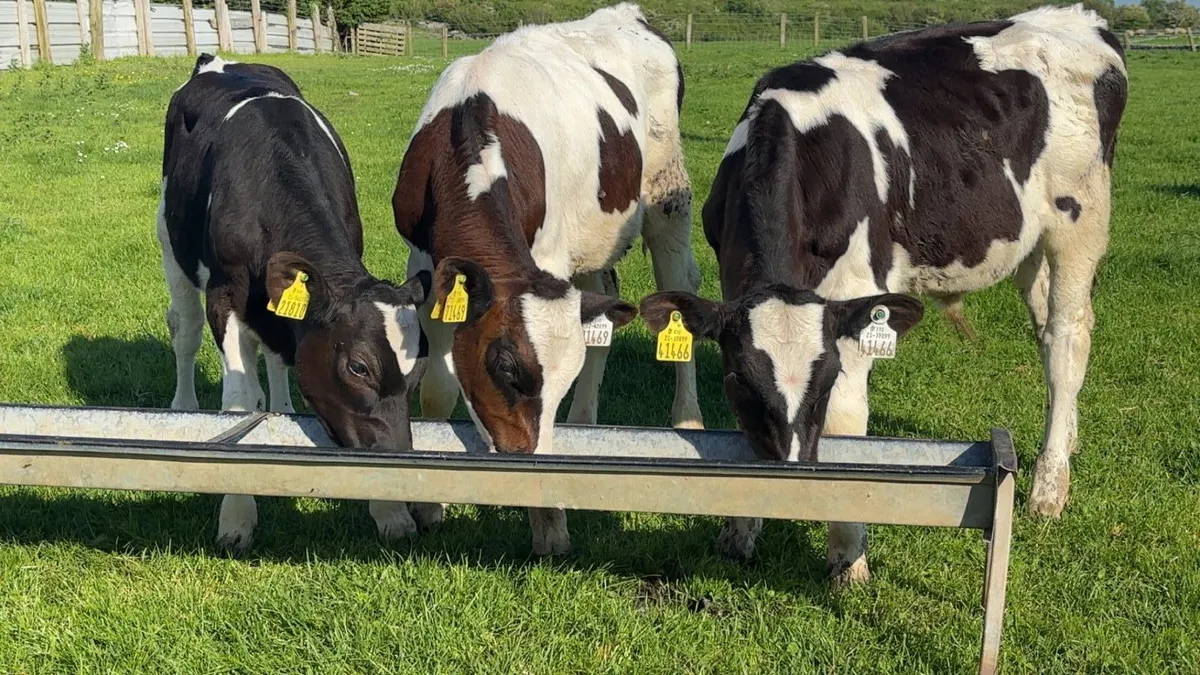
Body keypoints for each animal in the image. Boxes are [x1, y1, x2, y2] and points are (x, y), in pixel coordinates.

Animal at [158, 55, 432, 552]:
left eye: (418, 368)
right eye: (358, 367)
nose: (398, 466)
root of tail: (217, 60)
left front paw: (391, 511)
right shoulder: (223, 298)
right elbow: (238, 400)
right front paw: (237, 516)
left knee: (274, 355)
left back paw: (282, 409)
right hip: (171, 245)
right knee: (183, 331)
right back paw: (183, 406)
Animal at [390, 3, 701, 555]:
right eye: (506, 367)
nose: (527, 467)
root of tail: (630, 14)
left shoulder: (549, 257)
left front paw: (550, 522)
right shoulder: (424, 265)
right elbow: (437, 392)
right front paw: (430, 504)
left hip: (668, 198)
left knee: (678, 290)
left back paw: (686, 418)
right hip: (597, 236)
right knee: (605, 304)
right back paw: (584, 423)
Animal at [640, 5, 1127, 583]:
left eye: (825, 382)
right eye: (738, 381)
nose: (788, 486)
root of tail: (1078, 19)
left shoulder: (855, 300)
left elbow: (848, 422)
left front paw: (849, 557)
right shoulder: (733, 280)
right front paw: (740, 530)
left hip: (1080, 220)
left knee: (1066, 340)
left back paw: (1050, 487)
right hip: (1025, 238)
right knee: (1045, 329)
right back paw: (1066, 441)